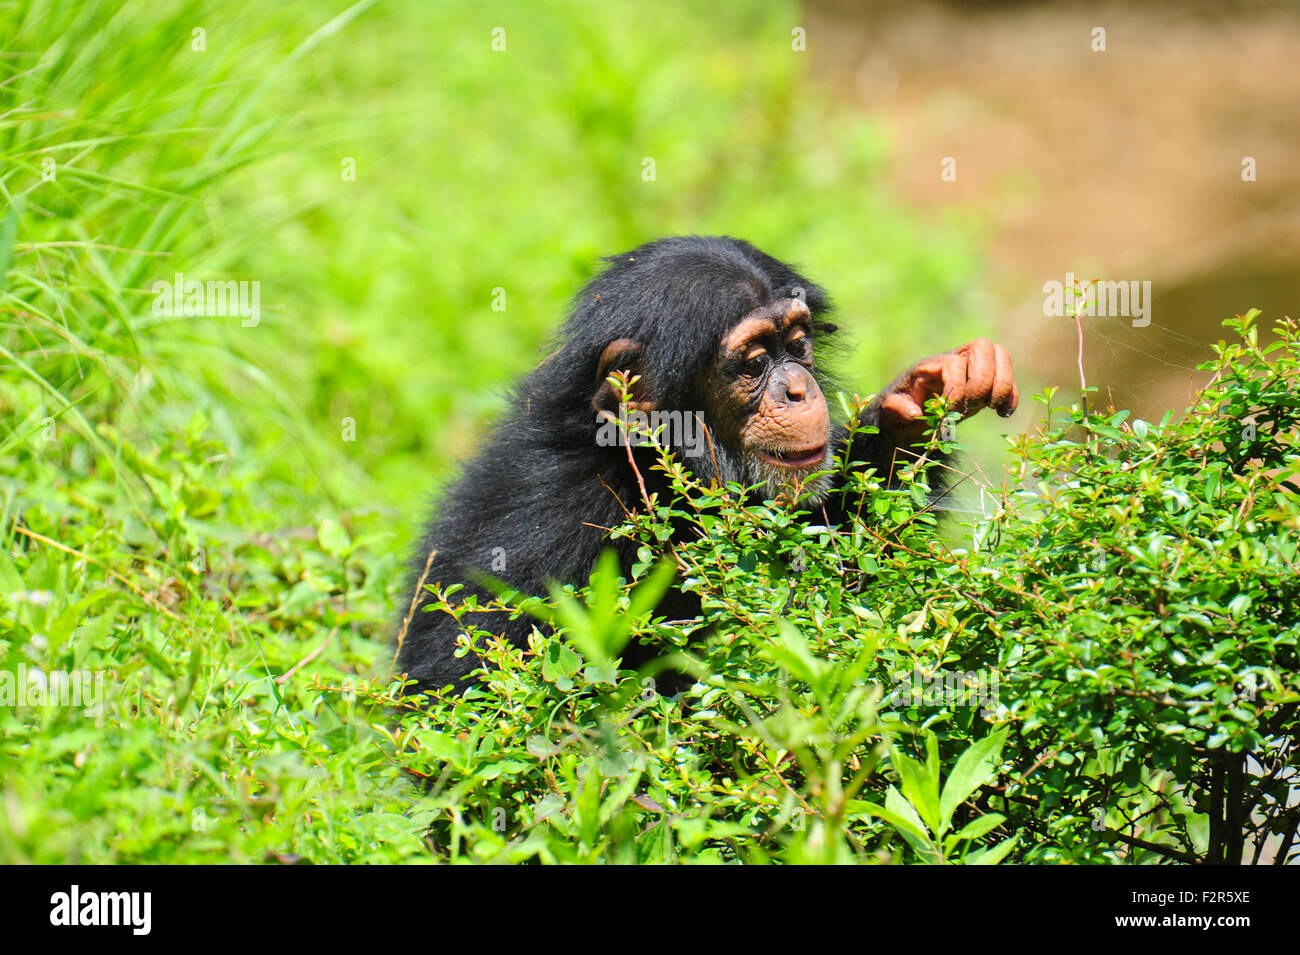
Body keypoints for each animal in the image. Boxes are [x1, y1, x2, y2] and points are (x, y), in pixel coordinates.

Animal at [397, 236, 1018, 694]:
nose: (798, 389)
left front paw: (915, 406)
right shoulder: (544, 535)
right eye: (756, 362)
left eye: (798, 344)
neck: (645, 477)